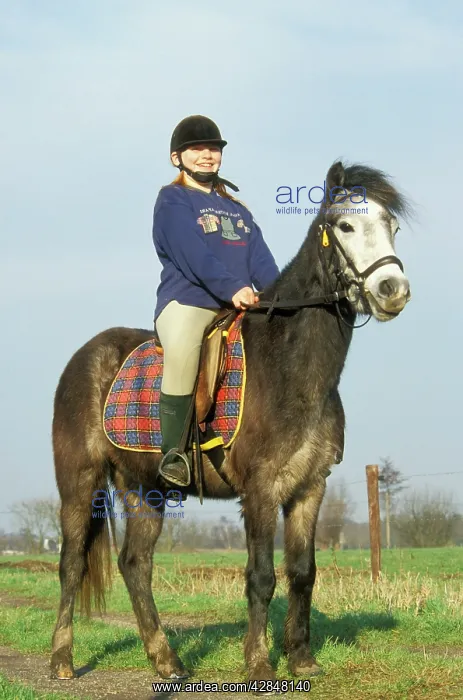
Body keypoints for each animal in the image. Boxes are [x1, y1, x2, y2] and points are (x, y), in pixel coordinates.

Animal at [50, 161, 411, 684]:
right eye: (344, 225)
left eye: (392, 227)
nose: (393, 291)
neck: (288, 367)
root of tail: (84, 356)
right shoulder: (260, 490)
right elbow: (261, 577)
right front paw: (259, 663)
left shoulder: (309, 488)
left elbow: (303, 573)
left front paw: (302, 658)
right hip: (80, 481)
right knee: (72, 563)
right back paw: (61, 660)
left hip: (145, 489)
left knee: (135, 564)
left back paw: (167, 660)